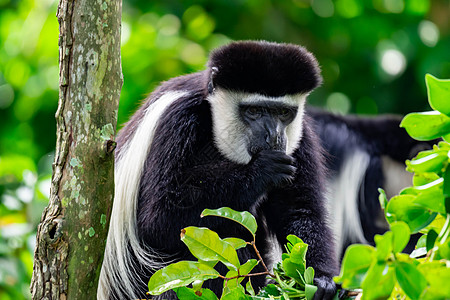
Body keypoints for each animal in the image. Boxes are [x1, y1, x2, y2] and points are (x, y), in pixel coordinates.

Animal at [97, 40, 338, 300]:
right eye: (254, 111)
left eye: (283, 113)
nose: (273, 136)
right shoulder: (177, 120)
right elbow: (157, 217)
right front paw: (262, 171)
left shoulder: (299, 137)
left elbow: (299, 210)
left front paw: (321, 280)